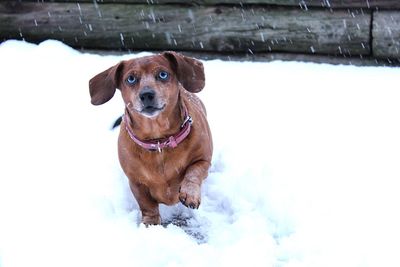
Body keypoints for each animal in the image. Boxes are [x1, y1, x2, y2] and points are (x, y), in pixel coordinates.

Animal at [88, 51, 212, 225]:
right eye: (131, 78)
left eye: (163, 74)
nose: (146, 94)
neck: (159, 141)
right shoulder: (136, 182)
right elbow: (146, 204)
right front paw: (151, 223)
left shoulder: (204, 160)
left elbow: (194, 172)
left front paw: (190, 193)